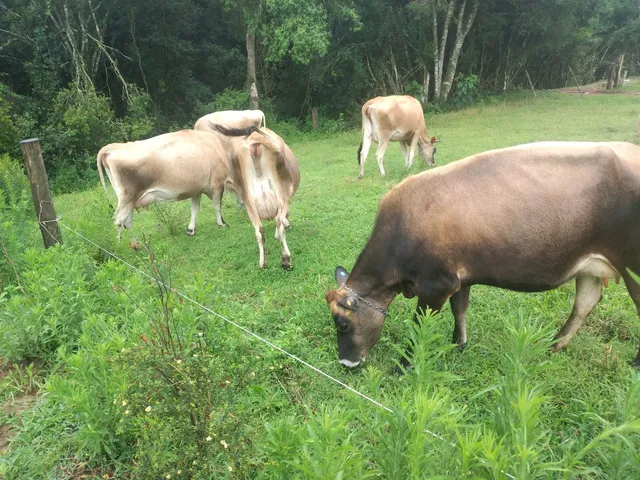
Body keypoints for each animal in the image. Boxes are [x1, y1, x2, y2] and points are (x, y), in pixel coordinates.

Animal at [96, 130, 231, 246]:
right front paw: (221, 224)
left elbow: (195, 209)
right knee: (119, 220)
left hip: (126, 199)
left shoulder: (197, 189)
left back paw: (136, 244)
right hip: (128, 196)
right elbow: (217, 206)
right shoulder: (218, 184)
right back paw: (119, 247)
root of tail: (113, 147)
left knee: (126, 222)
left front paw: (191, 230)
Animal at [212, 125, 300, 269]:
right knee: (279, 222)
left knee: (259, 230)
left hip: (248, 198)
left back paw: (263, 263)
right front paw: (284, 228)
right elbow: (283, 219)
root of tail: (253, 139)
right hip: (281, 192)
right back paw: (286, 259)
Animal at [325, 141, 640, 370]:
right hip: (589, 267)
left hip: (633, 267)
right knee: (585, 304)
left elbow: (420, 326)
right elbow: (460, 309)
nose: (345, 363)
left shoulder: (436, 284)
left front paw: (404, 365)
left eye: (342, 324)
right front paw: (458, 344)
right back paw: (553, 345)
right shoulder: (459, 278)